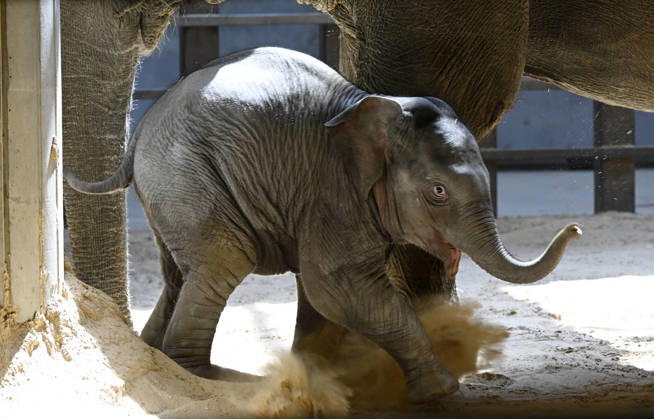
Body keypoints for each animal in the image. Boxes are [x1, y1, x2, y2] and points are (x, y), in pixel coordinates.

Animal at [64, 47, 582, 402]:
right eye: (438, 192)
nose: (575, 229)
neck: (371, 110)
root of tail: (141, 129)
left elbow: (319, 296)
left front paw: (323, 378)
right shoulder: (331, 190)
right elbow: (338, 287)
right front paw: (441, 391)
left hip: (171, 189)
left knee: (179, 273)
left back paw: (162, 358)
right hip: (187, 175)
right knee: (222, 261)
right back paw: (212, 379)